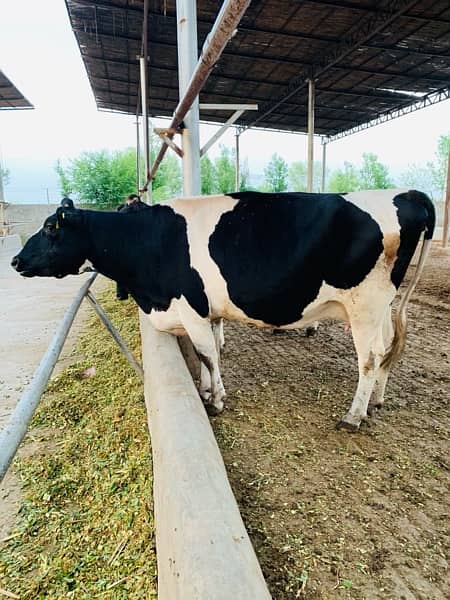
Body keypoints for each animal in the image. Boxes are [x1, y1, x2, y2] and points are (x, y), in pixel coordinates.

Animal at [11, 190, 432, 428]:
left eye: (50, 228)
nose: (15, 260)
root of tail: (408, 194)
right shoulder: (206, 311)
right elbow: (211, 350)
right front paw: (208, 389)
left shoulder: (190, 304)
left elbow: (206, 353)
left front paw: (214, 401)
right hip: (381, 309)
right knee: (386, 351)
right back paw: (376, 400)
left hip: (365, 306)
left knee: (369, 358)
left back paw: (353, 416)